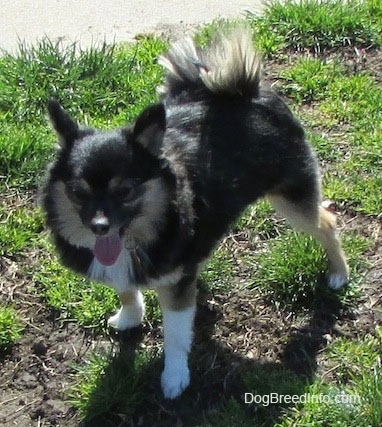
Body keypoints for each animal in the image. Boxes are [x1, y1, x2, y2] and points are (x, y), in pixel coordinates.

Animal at [41, 30, 350, 402]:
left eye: (125, 191)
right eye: (78, 192)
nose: (100, 227)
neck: (142, 232)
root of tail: (247, 90)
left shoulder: (175, 288)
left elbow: (175, 335)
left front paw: (174, 377)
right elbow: (125, 288)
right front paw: (131, 316)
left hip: (291, 198)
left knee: (327, 222)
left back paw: (339, 273)